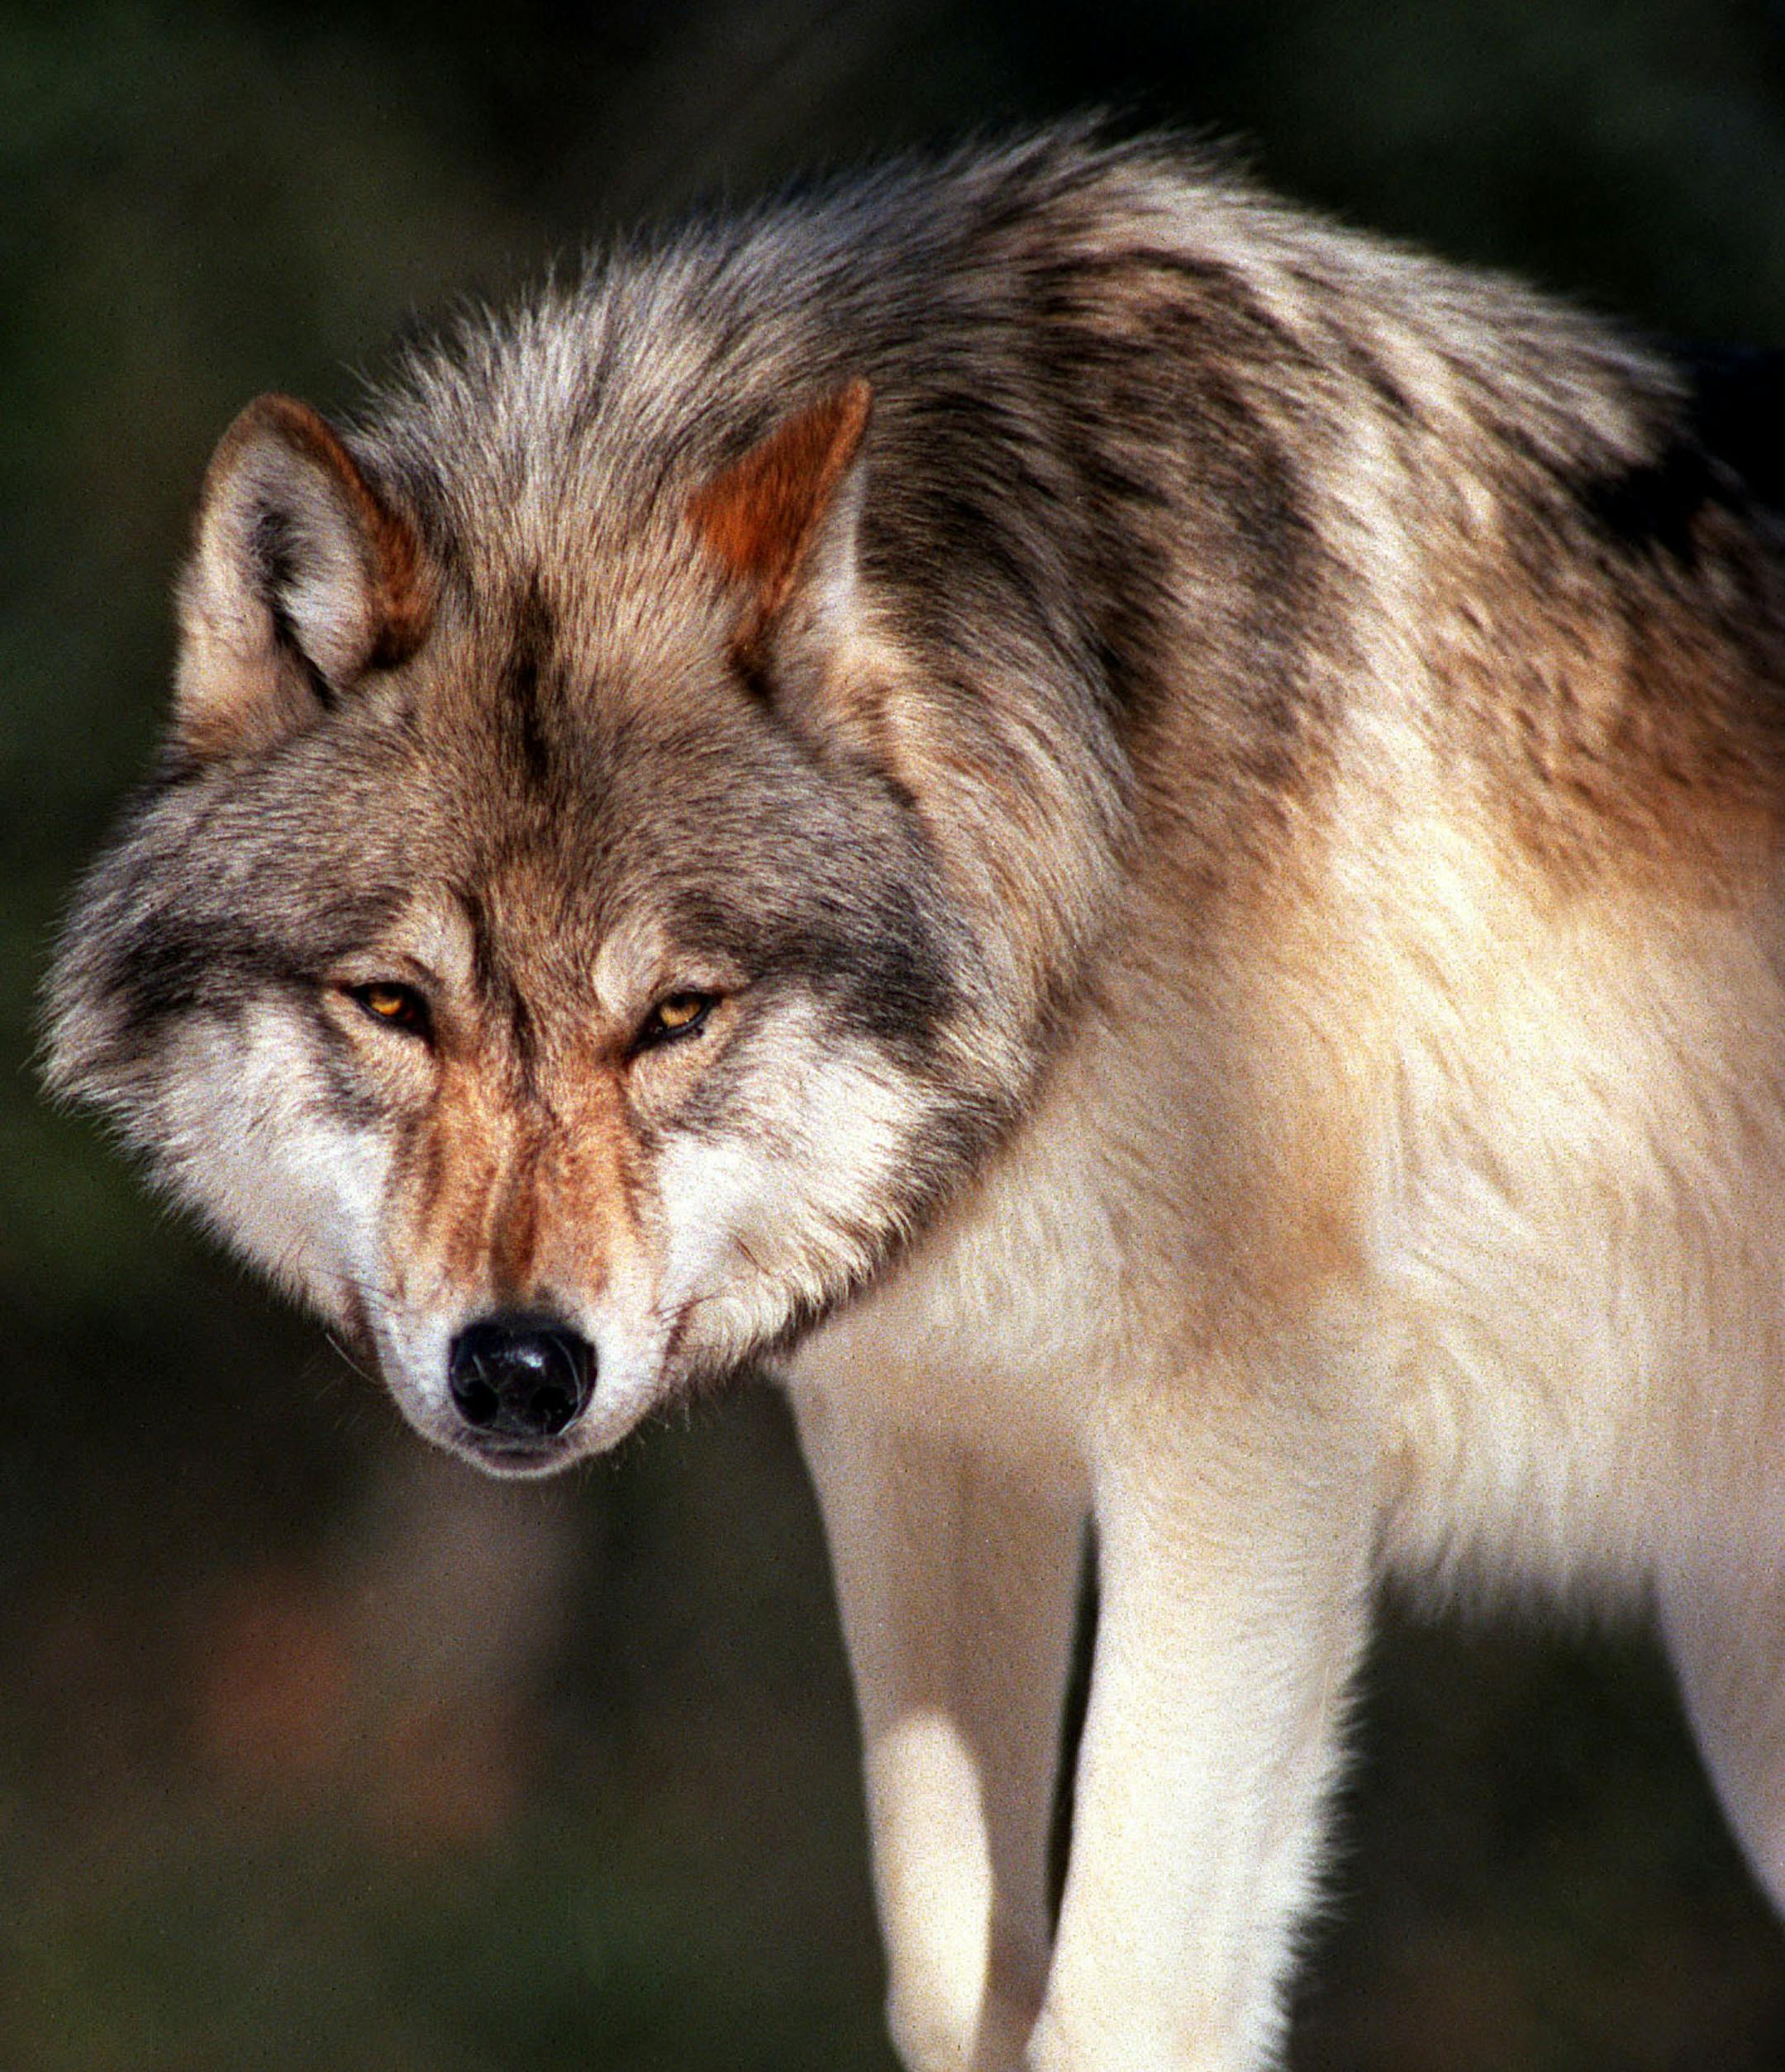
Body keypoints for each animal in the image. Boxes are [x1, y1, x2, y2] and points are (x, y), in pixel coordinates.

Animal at [42, 127, 1785, 2069]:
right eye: (396, 1005)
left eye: (676, 1013)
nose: (521, 1368)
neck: (1101, 779)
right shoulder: (929, 1431)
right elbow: (958, 1985)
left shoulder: (1251, 1438)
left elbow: (1114, 2003)